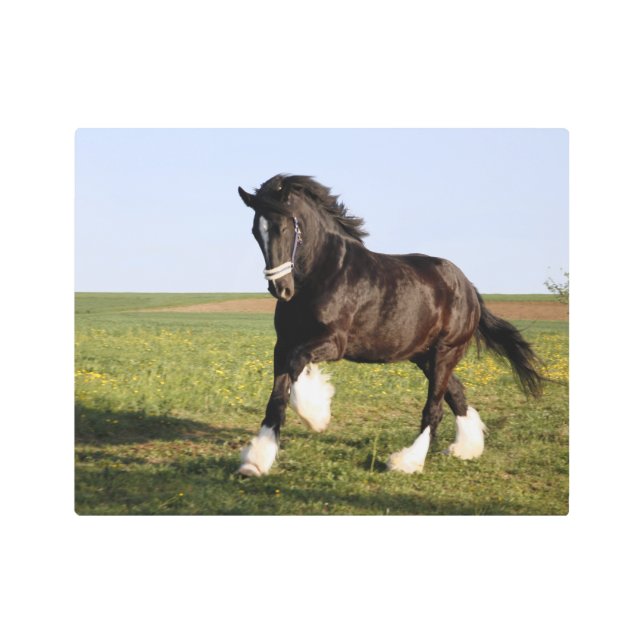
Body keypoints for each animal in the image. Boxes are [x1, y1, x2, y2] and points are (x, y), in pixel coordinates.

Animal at [236, 174, 543, 476]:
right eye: (255, 231)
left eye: (283, 227)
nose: (280, 289)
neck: (324, 272)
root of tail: (469, 288)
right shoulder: (283, 344)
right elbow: (277, 399)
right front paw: (254, 462)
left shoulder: (333, 343)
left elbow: (297, 366)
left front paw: (317, 415)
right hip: (425, 356)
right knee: (456, 394)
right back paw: (466, 448)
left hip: (445, 352)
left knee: (434, 408)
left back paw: (407, 462)